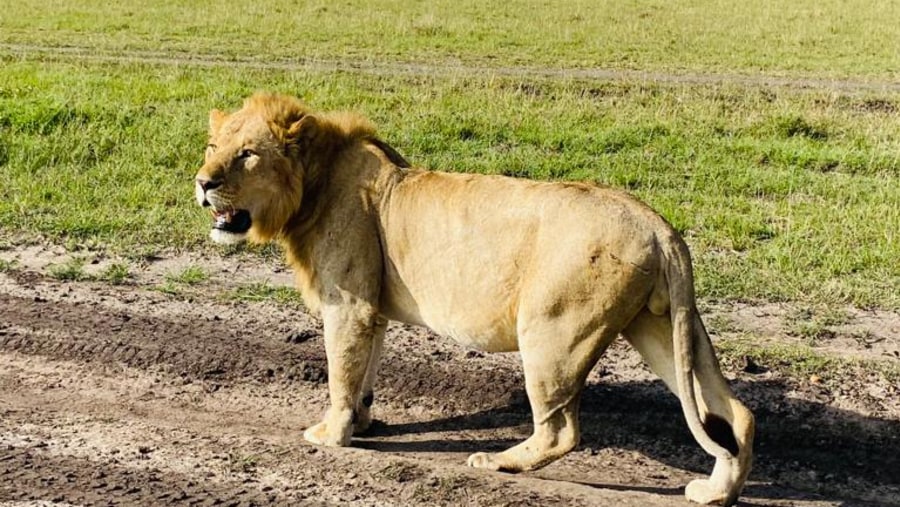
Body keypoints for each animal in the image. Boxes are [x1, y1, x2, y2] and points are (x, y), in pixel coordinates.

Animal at [195, 93, 752, 506]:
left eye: (247, 153)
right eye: (212, 145)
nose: (203, 183)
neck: (313, 184)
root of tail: (658, 225)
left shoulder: (348, 305)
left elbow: (340, 372)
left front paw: (331, 435)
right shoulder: (371, 311)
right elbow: (363, 373)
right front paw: (364, 423)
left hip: (551, 332)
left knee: (561, 430)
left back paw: (498, 462)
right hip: (658, 325)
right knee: (734, 412)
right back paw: (716, 492)